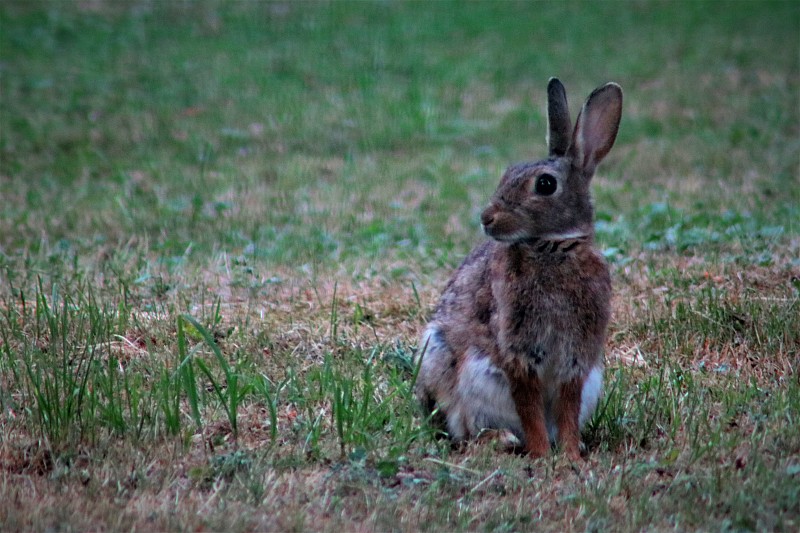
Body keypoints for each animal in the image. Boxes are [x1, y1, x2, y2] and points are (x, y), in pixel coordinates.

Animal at [416, 78, 620, 458]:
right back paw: (502, 440)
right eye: (507, 172)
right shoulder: (518, 351)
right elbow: (529, 408)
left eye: (545, 184)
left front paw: (570, 455)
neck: (552, 249)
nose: (487, 218)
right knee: (465, 429)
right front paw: (541, 454)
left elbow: (566, 408)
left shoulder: (576, 358)